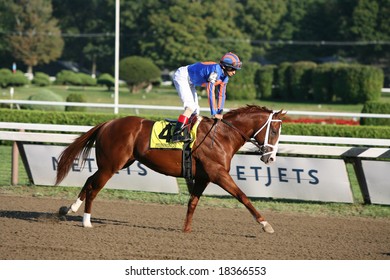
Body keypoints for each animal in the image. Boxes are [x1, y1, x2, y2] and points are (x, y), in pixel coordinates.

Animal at [54, 105, 284, 234]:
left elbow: (192, 203)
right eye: (274, 130)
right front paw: (266, 225)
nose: (271, 157)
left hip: (116, 163)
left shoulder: (203, 177)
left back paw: (69, 209)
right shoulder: (218, 174)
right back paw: (86, 222)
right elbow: (243, 196)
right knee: (94, 188)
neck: (221, 136)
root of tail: (108, 123)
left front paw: (186, 230)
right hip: (111, 165)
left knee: (89, 181)